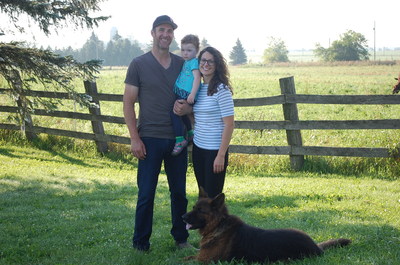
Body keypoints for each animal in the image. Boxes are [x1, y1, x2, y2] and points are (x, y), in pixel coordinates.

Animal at [183, 188, 352, 262]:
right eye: (193, 207)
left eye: (200, 210)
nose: (182, 217)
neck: (218, 225)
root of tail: (316, 246)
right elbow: (186, 256)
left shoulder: (204, 260)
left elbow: (185, 259)